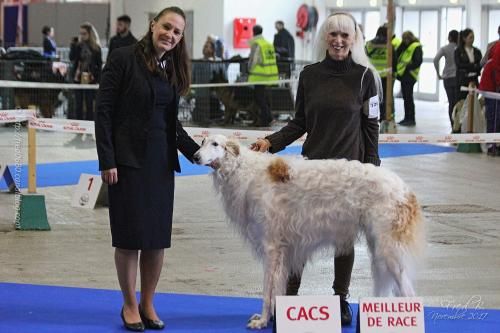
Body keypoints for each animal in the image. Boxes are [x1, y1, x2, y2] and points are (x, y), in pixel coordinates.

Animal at [193, 134, 424, 328]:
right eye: (202, 142)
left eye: (215, 144)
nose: (195, 156)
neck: (246, 171)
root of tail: (406, 190)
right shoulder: (284, 252)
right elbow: (278, 289)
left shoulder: (272, 248)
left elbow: (267, 291)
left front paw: (263, 321)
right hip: (379, 249)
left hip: (389, 252)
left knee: (409, 293)